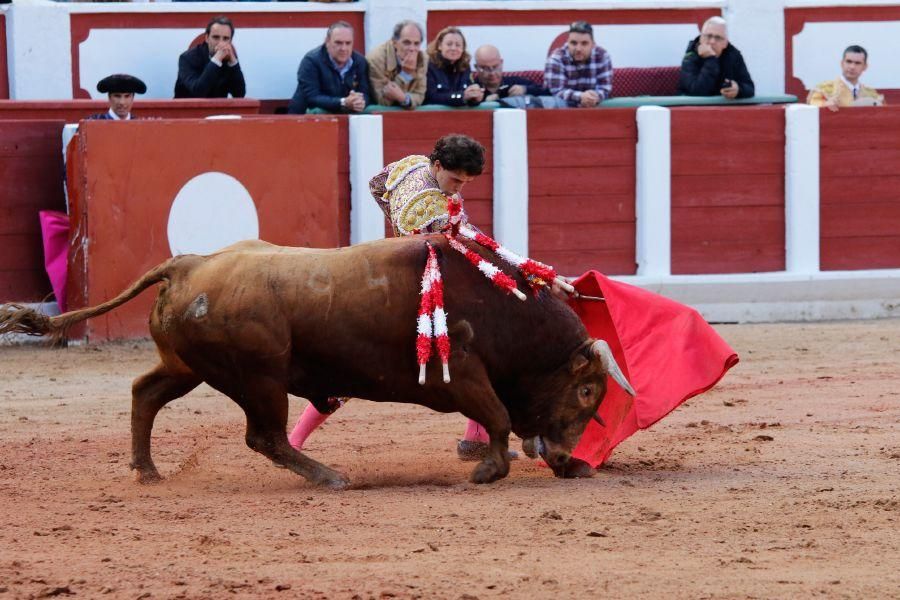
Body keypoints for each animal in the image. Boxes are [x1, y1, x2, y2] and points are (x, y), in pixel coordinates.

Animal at [0, 234, 632, 488]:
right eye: (585, 392)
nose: (566, 456)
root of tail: (189, 264)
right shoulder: (463, 376)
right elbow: (497, 417)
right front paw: (487, 470)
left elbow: (499, 419)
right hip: (259, 376)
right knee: (264, 436)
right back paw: (330, 476)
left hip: (188, 367)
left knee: (145, 393)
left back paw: (147, 470)